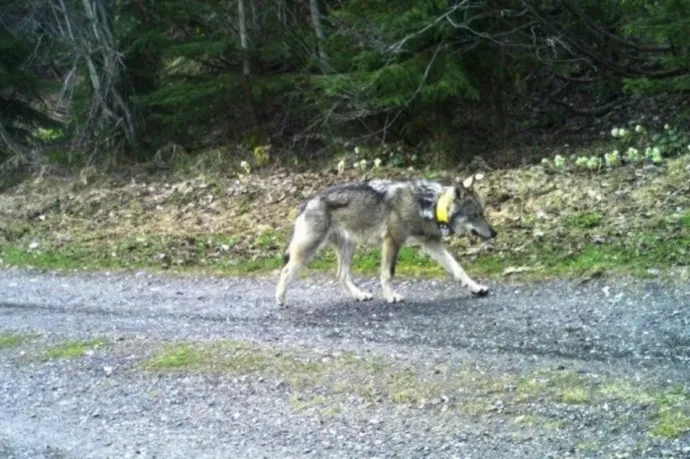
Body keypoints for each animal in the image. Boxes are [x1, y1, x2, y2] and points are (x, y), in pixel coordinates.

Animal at [274, 176, 494, 310]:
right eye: (476, 215)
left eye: (482, 213)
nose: (494, 233)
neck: (427, 204)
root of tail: (307, 201)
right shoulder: (392, 241)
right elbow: (388, 274)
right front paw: (390, 297)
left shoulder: (432, 244)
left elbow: (458, 269)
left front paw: (476, 288)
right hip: (308, 250)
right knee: (286, 271)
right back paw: (280, 300)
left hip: (349, 248)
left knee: (341, 275)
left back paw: (359, 295)